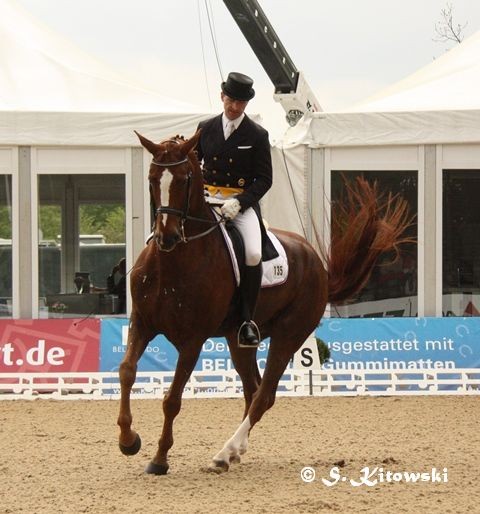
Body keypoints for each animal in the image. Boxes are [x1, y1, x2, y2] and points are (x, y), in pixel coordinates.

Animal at [117, 130, 412, 474]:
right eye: (153, 178)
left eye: (184, 179)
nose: (168, 237)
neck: (172, 264)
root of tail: (318, 265)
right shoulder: (142, 323)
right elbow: (127, 372)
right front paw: (129, 441)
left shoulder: (193, 340)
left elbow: (172, 399)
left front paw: (160, 458)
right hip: (239, 340)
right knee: (253, 389)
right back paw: (235, 451)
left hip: (289, 335)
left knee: (264, 395)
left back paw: (224, 453)